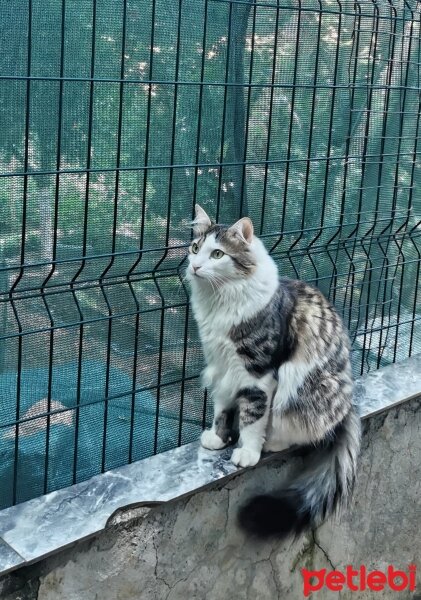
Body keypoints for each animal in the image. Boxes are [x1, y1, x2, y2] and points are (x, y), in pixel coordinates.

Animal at [185, 205, 360, 540]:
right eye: (195, 249)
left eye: (218, 254)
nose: (196, 266)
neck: (220, 302)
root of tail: (348, 406)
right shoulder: (221, 367)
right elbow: (221, 408)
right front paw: (218, 437)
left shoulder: (257, 374)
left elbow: (252, 418)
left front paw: (247, 451)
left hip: (300, 385)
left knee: (301, 430)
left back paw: (273, 442)